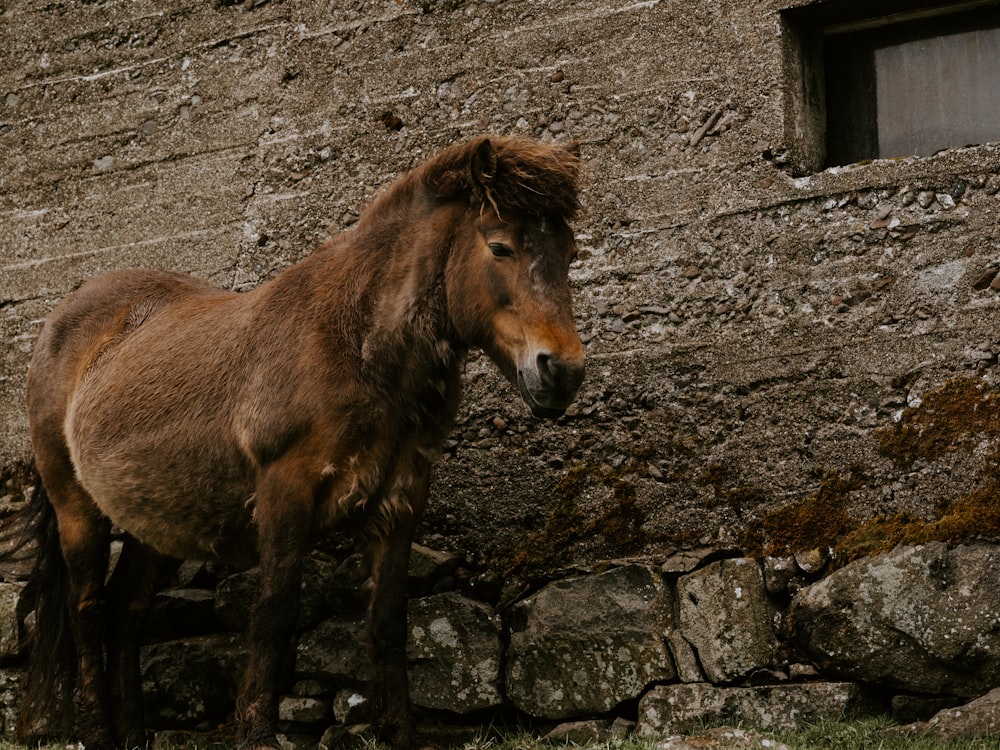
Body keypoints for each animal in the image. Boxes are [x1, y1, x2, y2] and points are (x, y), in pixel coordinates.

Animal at [15, 137, 584, 750]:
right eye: (500, 246)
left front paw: (400, 733)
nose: (563, 372)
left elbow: (388, 619)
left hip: (155, 521)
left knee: (127, 612)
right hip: (77, 507)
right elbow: (275, 611)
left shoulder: (400, 497)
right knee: (88, 611)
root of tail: (63, 315)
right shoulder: (285, 488)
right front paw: (257, 733)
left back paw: (134, 735)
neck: (357, 344)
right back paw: (98, 732)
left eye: (569, 253)